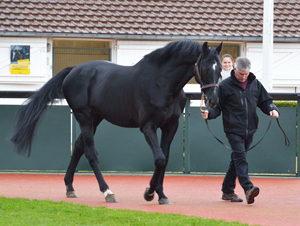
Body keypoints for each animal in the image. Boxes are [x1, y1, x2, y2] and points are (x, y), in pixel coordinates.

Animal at [10, 40, 221, 205]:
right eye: (205, 68)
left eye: (220, 69)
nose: (213, 100)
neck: (162, 83)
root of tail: (74, 70)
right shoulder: (148, 127)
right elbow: (160, 159)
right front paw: (149, 192)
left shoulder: (171, 126)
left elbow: (165, 159)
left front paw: (161, 194)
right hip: (84, 116)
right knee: (90, 152)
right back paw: (107, 192)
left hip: (96, 117)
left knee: (78, 147)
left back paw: (70, 187)